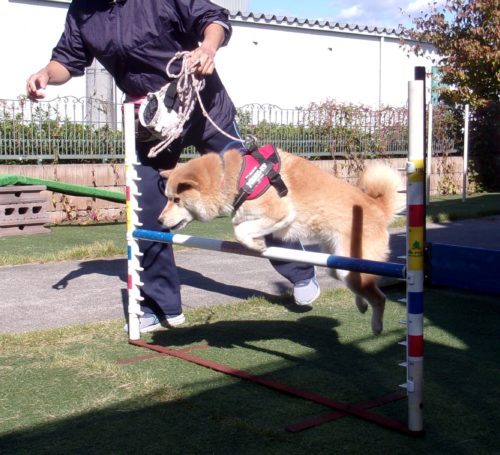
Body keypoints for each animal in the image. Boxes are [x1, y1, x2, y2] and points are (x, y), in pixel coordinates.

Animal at [158, 148, 404, 335]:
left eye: (176, 199)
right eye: (168, 198)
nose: (159, 220)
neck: (236, 178)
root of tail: (379, 209)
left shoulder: (281, 213)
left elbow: (240, 230)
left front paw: (256, 244)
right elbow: (241, 224)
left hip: (350, 268)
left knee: (379, 297)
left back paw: (376, 325)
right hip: (337, 266)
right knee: (364, 288)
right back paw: (361, 305)